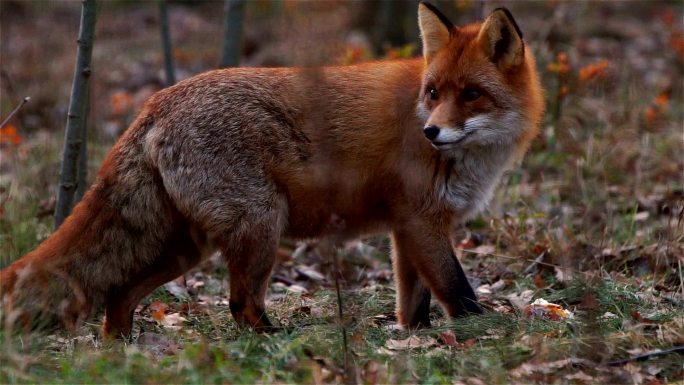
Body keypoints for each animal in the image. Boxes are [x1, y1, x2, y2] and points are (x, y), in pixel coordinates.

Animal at [1, 3, 544, 336]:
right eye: (433, 92)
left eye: (470, 94)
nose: (431, 131)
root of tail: (156, 100)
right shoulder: (421, 222)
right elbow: (459, 293)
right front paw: (482, 337)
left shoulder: (408, 227)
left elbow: (415, 306)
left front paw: (417, 341)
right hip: (261, 224)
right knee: (240, 306)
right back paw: (275, 341)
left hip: (188, 246)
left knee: (119, 296)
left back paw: (123, 353)